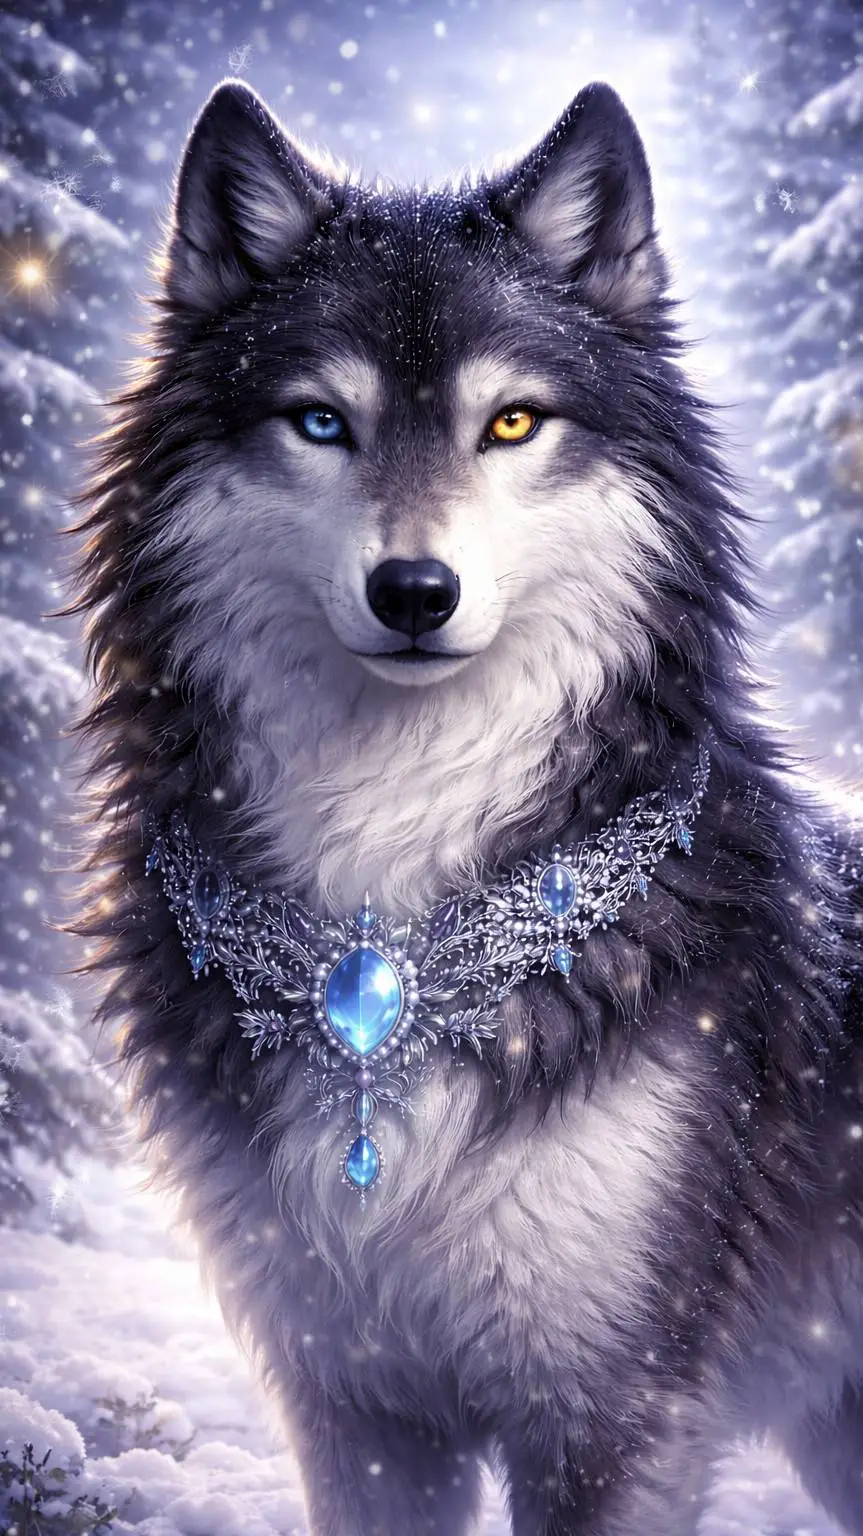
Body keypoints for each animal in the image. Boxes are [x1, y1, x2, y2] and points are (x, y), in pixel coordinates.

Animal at [71, 76, 863, 1535]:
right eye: (320, 422)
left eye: (510, 422)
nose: (413, 592)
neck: (386, 920)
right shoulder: (355, 1408)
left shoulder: (613, 1418)